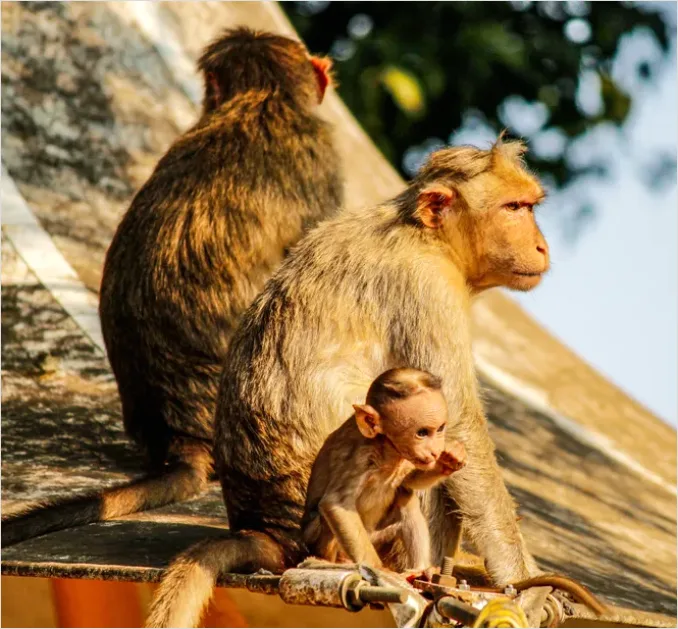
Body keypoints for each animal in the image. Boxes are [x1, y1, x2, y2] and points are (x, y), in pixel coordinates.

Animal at [302, 367, 467, 575]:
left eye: (440, 429)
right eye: (421, 433)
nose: (434, 451)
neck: (387, 449)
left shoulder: (405, 457)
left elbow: (408, 482)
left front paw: (450, 459)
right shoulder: (357, 456)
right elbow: (335, 503)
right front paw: (379, 570)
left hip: (378, 538)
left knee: (405, 497)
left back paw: (421, 569)